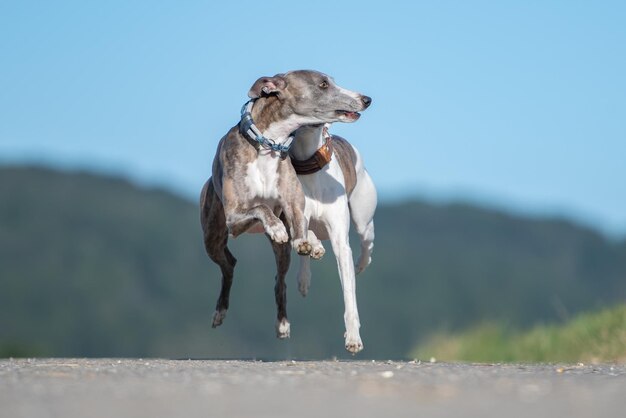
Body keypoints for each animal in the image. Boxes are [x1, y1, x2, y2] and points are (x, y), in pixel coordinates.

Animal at [200, 70, 370, 340]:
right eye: (323, 84)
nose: (366, 99)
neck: (268, 144)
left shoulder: (294, 202)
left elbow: (297, 221)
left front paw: (304, 240)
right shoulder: (234, 216)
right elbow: (261, 208)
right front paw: (278, 228)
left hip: (282, 253)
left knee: (278, 280)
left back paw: (283, 322)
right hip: (212, 236)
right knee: (228, 264)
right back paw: (220, 311)